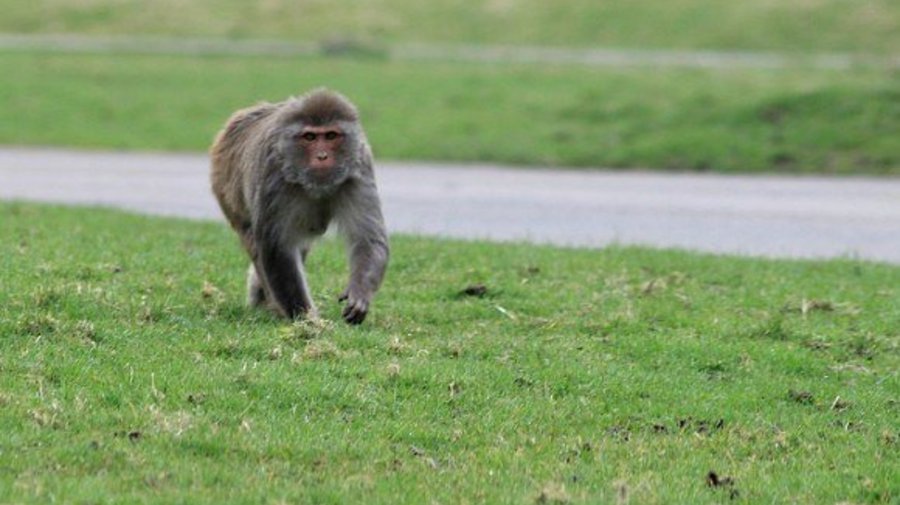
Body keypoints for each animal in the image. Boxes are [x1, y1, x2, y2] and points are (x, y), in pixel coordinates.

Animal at [210, 88, 389, 325]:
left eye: (331, 136)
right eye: (310, 137)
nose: (322, 156)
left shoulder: (359, 169)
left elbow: (368, 238)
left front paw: (359, 294)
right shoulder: (274, 175)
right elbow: (277, 248)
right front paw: (307, 318)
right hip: (226, 186)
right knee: (255, 242)